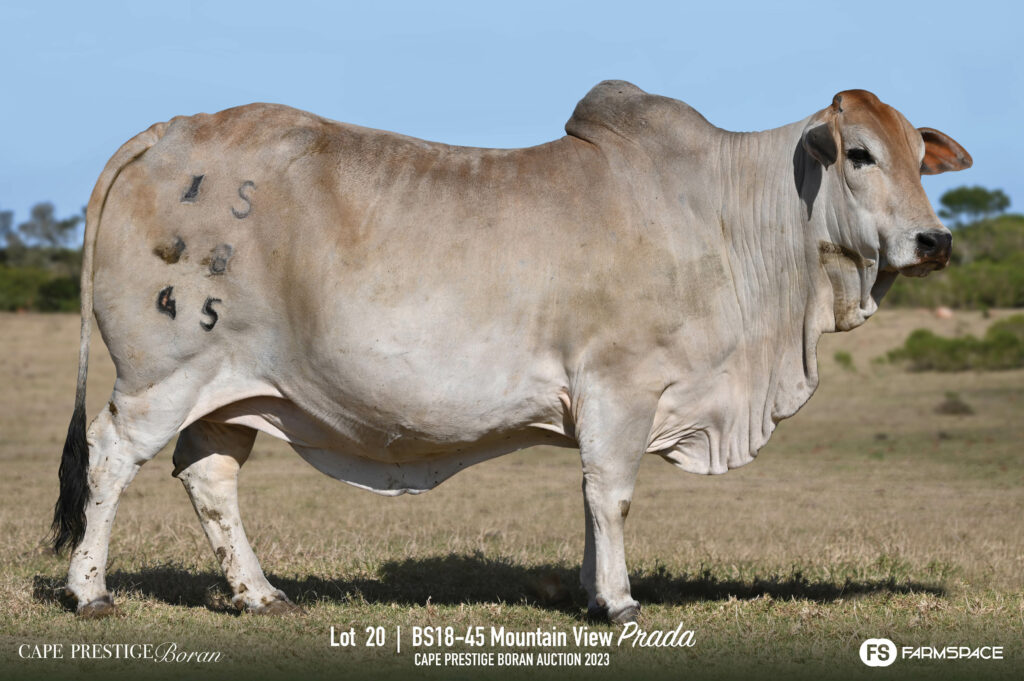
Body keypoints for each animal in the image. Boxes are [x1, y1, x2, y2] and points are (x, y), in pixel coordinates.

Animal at [52, 81, 971, 622]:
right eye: (859, 155)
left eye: (921, 160)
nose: (934, 240)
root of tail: (171, 128)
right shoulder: (621, 387)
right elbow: (612, 494)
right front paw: (620, 601)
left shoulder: (603, 406)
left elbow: (591, 497)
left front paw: (591, 590)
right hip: (162, 374)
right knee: (110, 459)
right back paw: (90, 592)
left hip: (234, 391)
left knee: (209, 476)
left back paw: (259, 594)